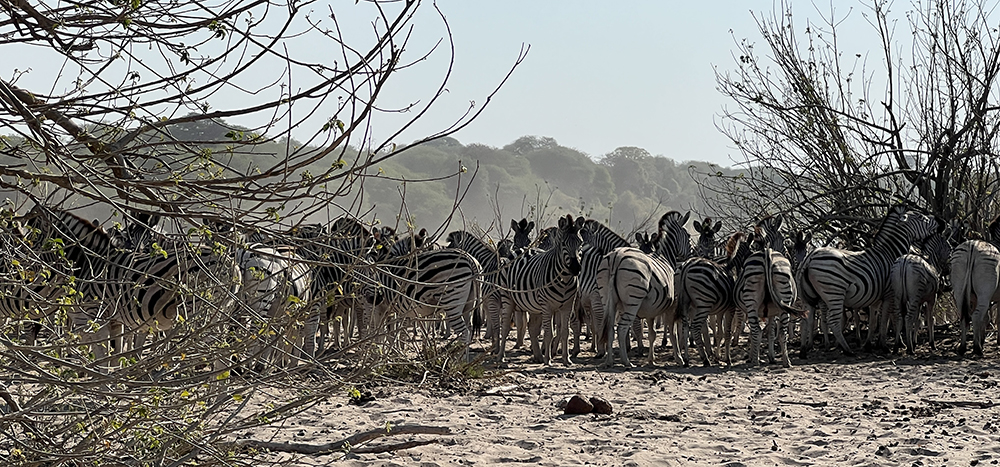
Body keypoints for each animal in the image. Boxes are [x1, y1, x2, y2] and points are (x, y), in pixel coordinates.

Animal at [496, 214, 585, 365]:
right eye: (563, 244)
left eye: (580, 243)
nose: (576, 268)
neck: (564, 280)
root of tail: (523, 249)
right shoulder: (547, 306)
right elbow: (549, 333)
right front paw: (548, 360)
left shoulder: (567, 306)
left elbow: (565, 332)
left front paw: (566, 360)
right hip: (508, 298)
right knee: (506, 326)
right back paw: (501, 356)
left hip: (534, 306)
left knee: (532, 328)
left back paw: (538, 356)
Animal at [596, 211, 692, 368]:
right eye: (688, 236)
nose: (691, 256)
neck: (663, 255)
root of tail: (616, 256)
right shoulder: (671, 305)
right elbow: (673, 333)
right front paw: (679, 358)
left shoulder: (651, 310)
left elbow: (652, 334)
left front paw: (651, 360)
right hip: (633, 301)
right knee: (621, 329)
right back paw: (626, 362)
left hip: (607, 299)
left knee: (610, 328)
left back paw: (609, 361)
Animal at [796, 205, 941, 357]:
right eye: (921, 217)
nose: (941, 222)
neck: (889, 252)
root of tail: (810, 256)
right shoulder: (889, 294)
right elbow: (886, 320)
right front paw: (885, 346)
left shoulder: (875, 297)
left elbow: (873, 322)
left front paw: (869, 345)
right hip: (834, 292)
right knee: (833, 322)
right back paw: (847, 350)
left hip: (808, 297)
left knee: (806, 319)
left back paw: (804, 350)